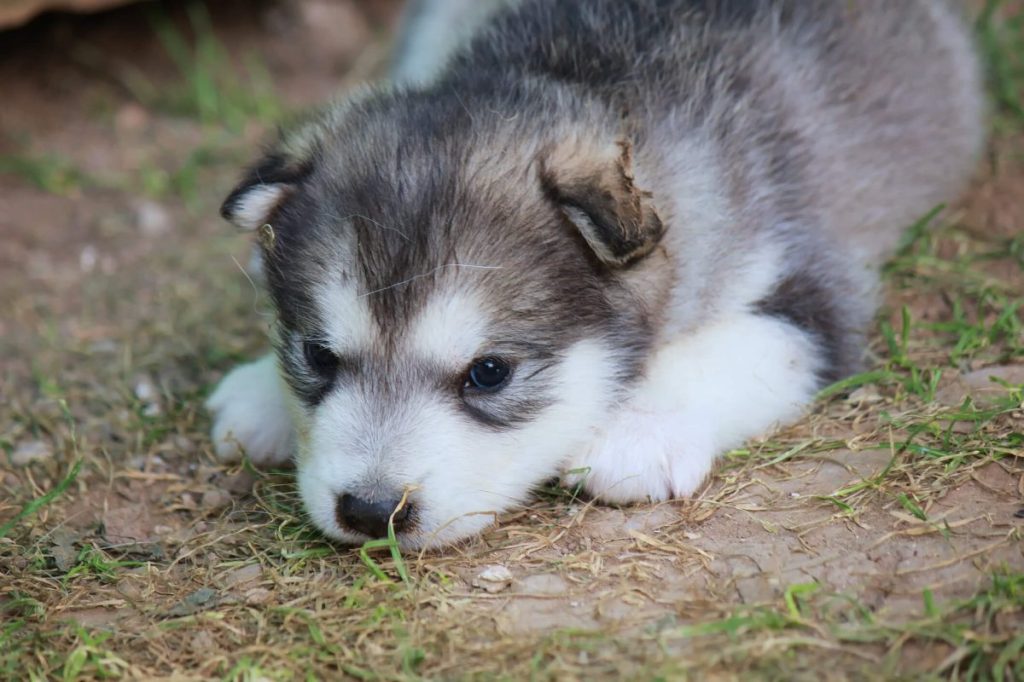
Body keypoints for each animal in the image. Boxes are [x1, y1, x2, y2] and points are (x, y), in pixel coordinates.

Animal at [205, 0, 983, 544]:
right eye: (317, 355)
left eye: (489, 373)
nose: (370, 511)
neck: (587, 71)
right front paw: (264, 392)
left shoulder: (816, 279)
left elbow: (741, 345)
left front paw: (638, 428)